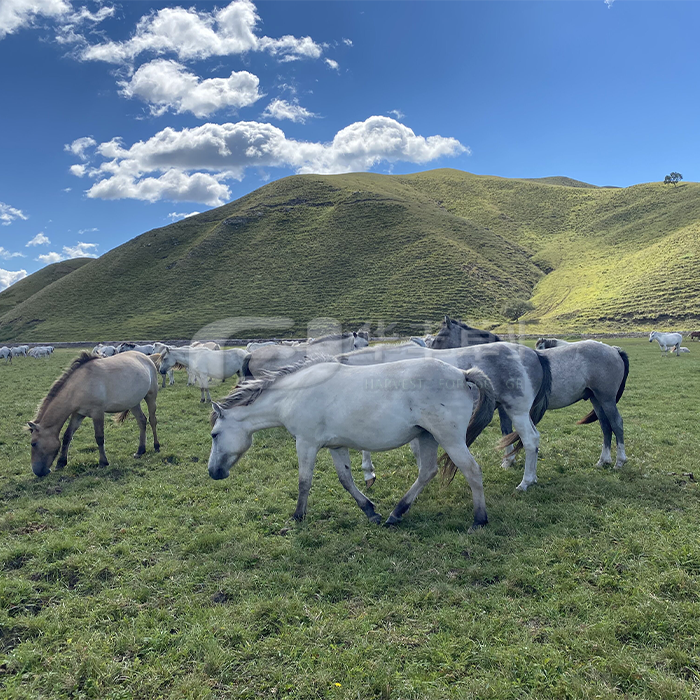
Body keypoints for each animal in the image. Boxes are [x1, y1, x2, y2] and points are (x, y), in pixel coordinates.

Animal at [27, 352, 160, 478]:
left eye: (33, 443)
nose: (37, 472)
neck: (80, 385)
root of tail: (148, 358)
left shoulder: (97, 413)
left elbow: (99, 437)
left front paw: (103, 462)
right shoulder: (78, 414)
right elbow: (67, 436)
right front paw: (61, 462)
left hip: (151, 397)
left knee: (152, 420)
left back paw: (156, 446)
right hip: (133, 403)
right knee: (142, 421)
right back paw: (140, 450)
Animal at [209, 360, 498, 532]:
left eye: (214, 434)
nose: (213, 472)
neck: (295, 393)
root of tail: (462, 374)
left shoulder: (306, 443)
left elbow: (304, 481)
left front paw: (297, 517)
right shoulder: (336, 447)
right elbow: (346, 480)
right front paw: (370, 511)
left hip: (449, 439)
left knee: (472, 471)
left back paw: (479, 520)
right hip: (427, 437)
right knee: (427, 472)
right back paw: (396, 513)